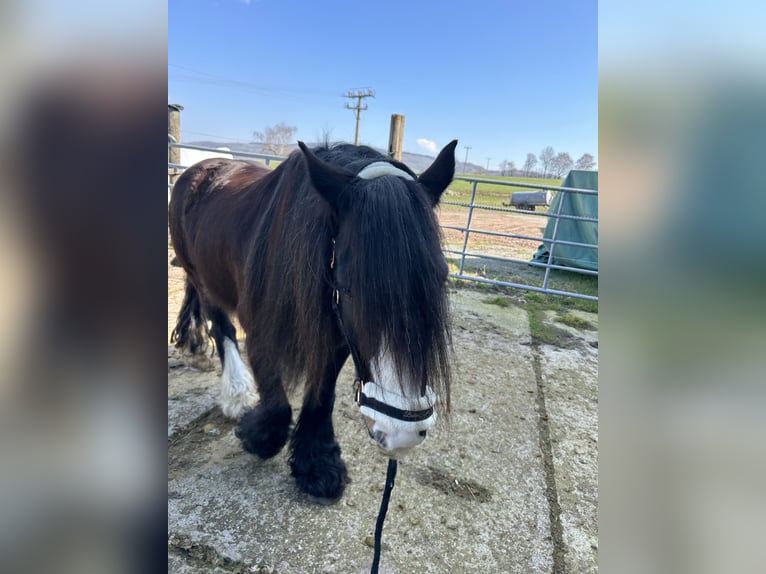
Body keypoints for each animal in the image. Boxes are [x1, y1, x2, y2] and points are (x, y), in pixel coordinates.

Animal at [169, 140, 457, 502]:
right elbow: (277, 404)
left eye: (440, 277)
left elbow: (322, 396)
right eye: (349, 286)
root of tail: (198, 169)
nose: (401, 433)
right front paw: (256, 434)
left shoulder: (337, 337)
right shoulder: (261, 331)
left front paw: (317, 465)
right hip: (201, 274)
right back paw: (236, 393)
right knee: (221, 326)